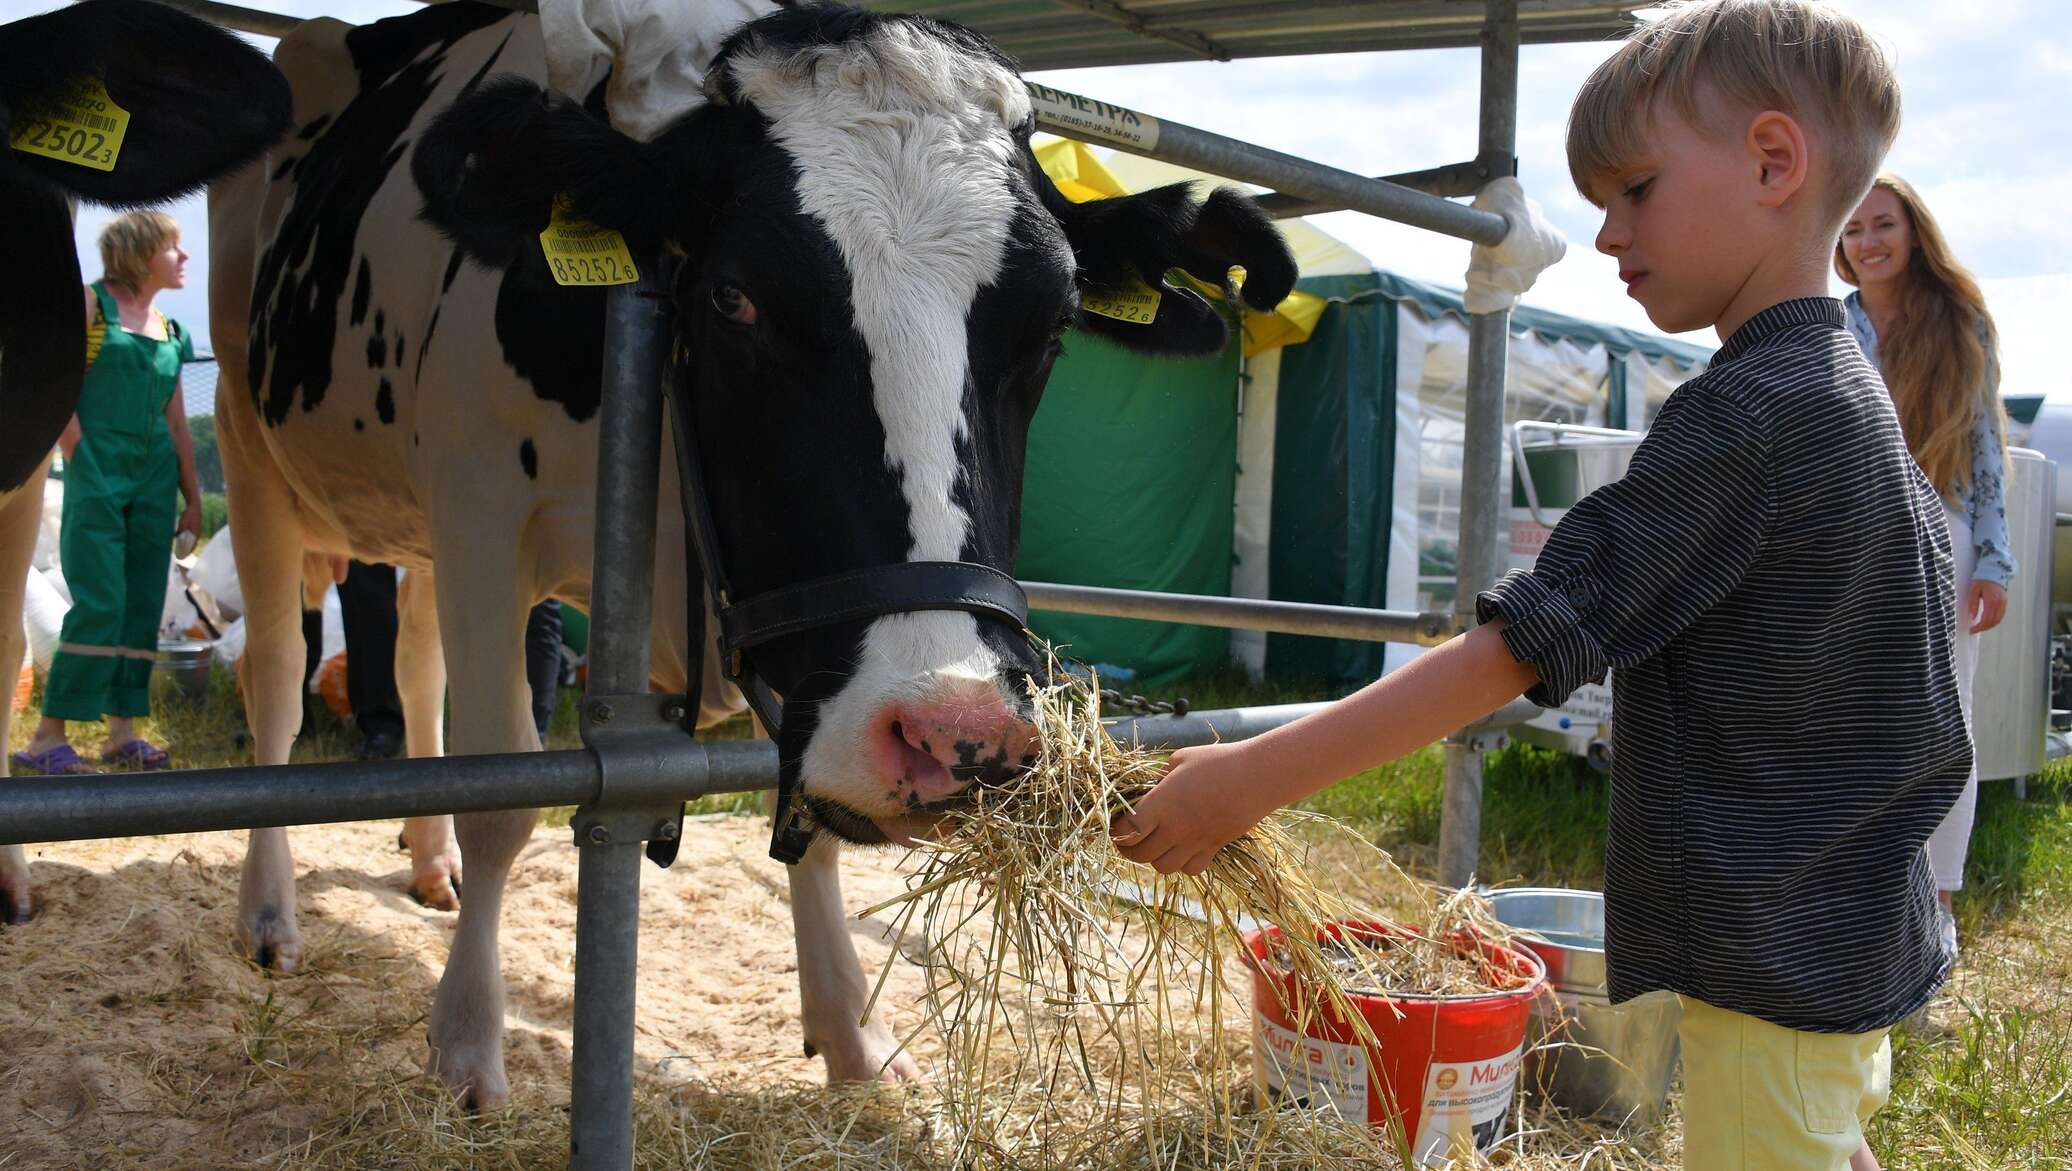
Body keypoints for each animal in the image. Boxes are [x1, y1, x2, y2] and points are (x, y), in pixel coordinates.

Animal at [206, 0, 1276, 1102]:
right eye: (733, 298)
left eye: (1052, 326)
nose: (959, 738)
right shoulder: (480, 511)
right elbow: (500, 798)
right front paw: (466, 1044)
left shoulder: (781, 623)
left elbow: (807, 807)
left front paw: (853, 1034)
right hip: (253, 450)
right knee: (278, 680)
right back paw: (270, 912)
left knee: (416, 666)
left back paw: (426, 866)